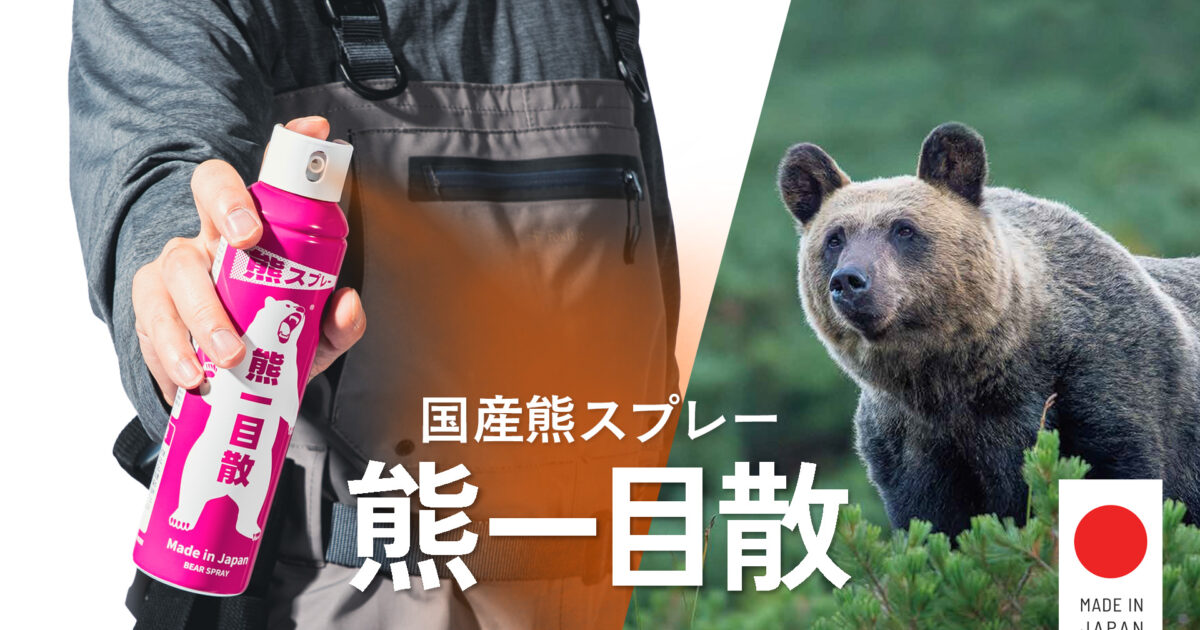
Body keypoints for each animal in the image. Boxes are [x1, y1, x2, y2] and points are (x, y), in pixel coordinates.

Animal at [168, 296, 304, 540]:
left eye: (297, 306)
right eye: (288, 305)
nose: (299, 308)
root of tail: (223, 492)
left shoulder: (292, 373)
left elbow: (290, 402)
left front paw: (289, 427)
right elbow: (216, 393)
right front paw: (209, 369)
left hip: (262, 479)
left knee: (253, 506)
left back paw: (250, 530)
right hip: (196, 466)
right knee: (189, 493)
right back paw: (181, 520)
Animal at [777, 122, 1200, 536]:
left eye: (904, 229)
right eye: (834, 238)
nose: (849, 280)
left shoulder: (1103, 384)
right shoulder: (910, 442)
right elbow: (933, 522)